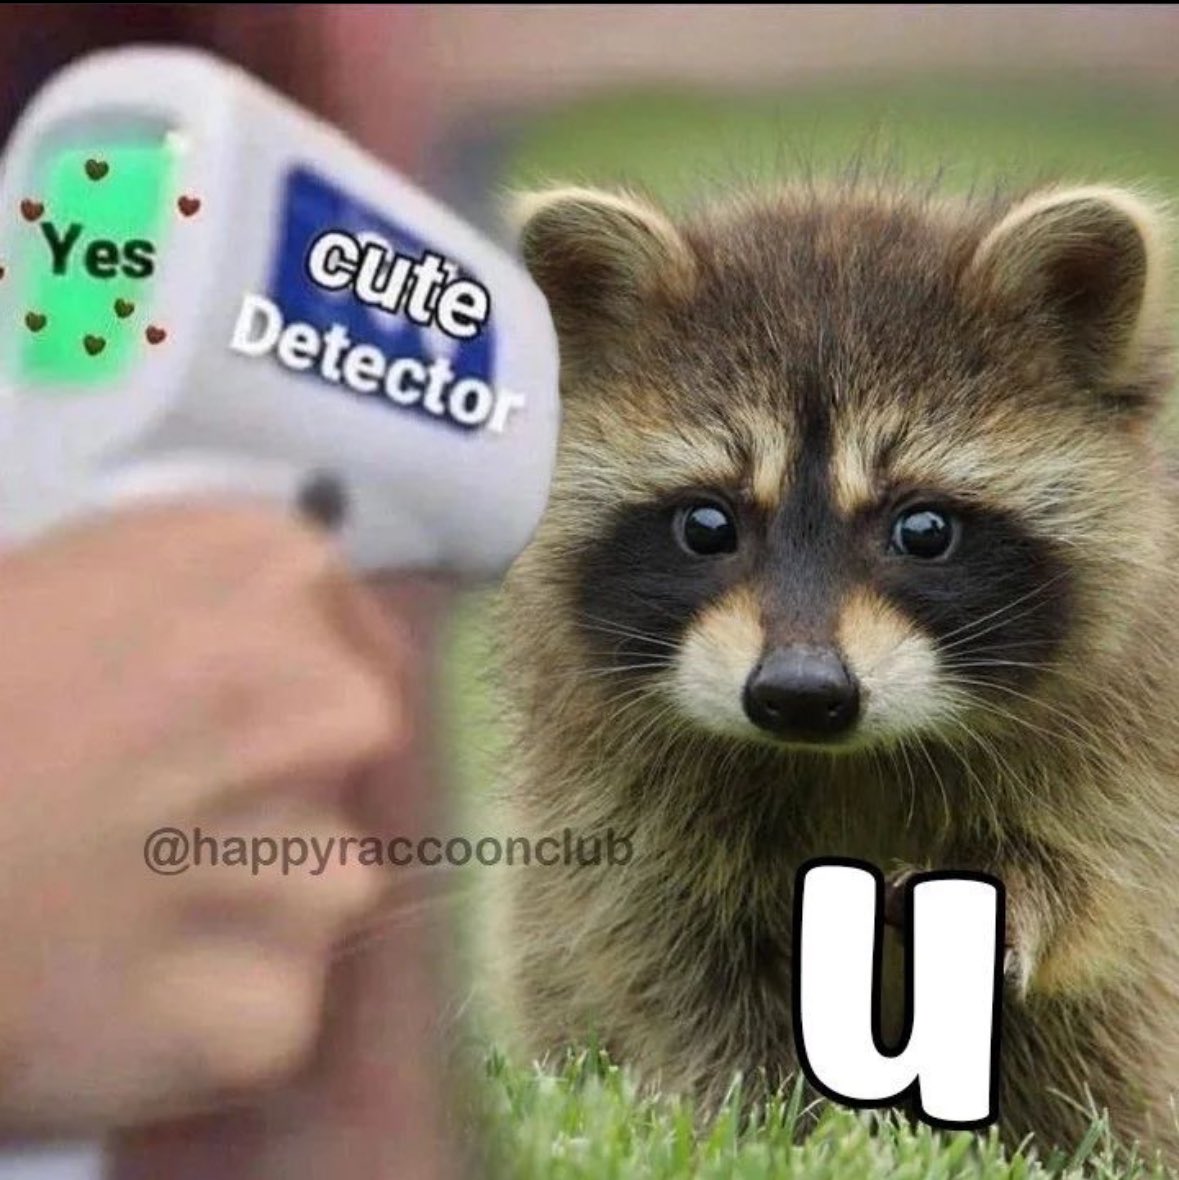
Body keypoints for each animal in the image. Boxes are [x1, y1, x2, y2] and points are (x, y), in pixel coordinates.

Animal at [494, 175, 1179, 1160]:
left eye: (922, 529)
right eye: (707, 524)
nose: (800, 695)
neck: (841, 759)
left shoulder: (1123, 741)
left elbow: (1101, 880)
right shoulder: (614, 798)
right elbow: (663, 956)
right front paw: (763, 1121)